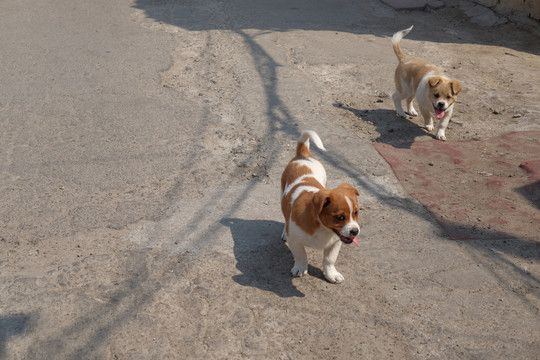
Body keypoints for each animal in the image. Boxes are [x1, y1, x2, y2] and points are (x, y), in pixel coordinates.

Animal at [280, 131, 360, 282]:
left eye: (356, 213)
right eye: (340, 217)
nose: (355, 231)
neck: (322, 228)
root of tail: (303, 155)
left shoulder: (335, 242)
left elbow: (329, 260)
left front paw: (331, 274)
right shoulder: (295, 241)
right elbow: (301, 255)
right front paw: (300, 268)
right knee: (285, 217)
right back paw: (284, 232)